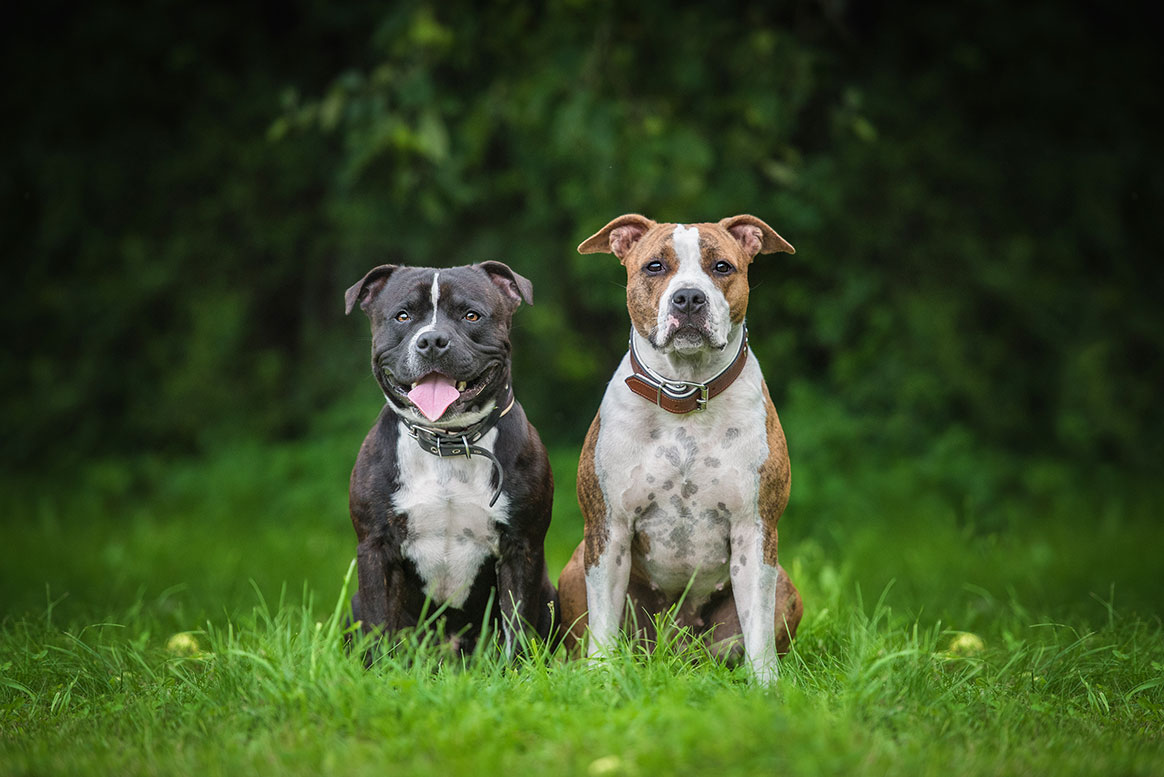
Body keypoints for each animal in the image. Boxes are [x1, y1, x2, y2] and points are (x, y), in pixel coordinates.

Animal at [342, 262, 556, 656]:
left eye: (471, 315)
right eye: (403, 316)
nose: (431, 341)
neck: (448, 442)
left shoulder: (522, 548)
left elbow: (517, 627)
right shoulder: (376, 547)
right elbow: (380, 627)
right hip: (355, 605)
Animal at [558, 215, 805, 683]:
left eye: (722, 267)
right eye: (654, 266)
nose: (688, 297)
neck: (685, 395)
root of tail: (675, 648)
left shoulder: (755, 530)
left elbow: (759, 627)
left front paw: (766, 687)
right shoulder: (609, 529)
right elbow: (603, 622)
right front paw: (602, 679)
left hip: (782, 587)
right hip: (576, 567)